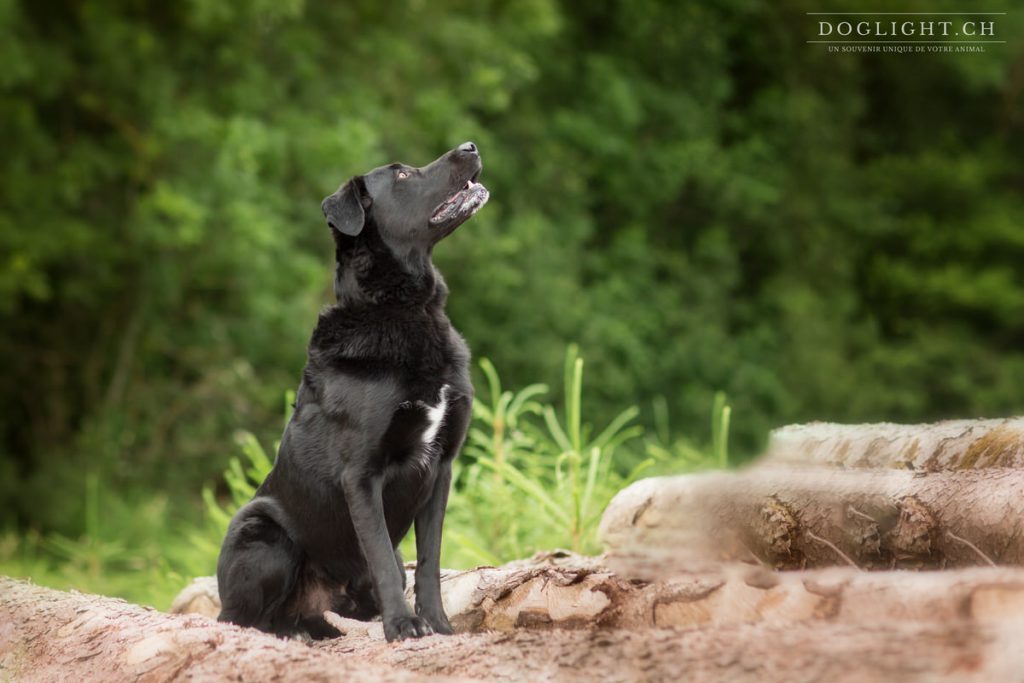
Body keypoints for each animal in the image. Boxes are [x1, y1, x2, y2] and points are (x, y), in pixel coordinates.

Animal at [217, 143, 487, 643]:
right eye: (401, 175)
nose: (470, 146)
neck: (405, 310)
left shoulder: (441, 467)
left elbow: (429, 562)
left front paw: (438, 624)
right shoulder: (361, 474)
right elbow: (380, 556)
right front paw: (403, 625)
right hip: (260, 532)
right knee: (240, 618)